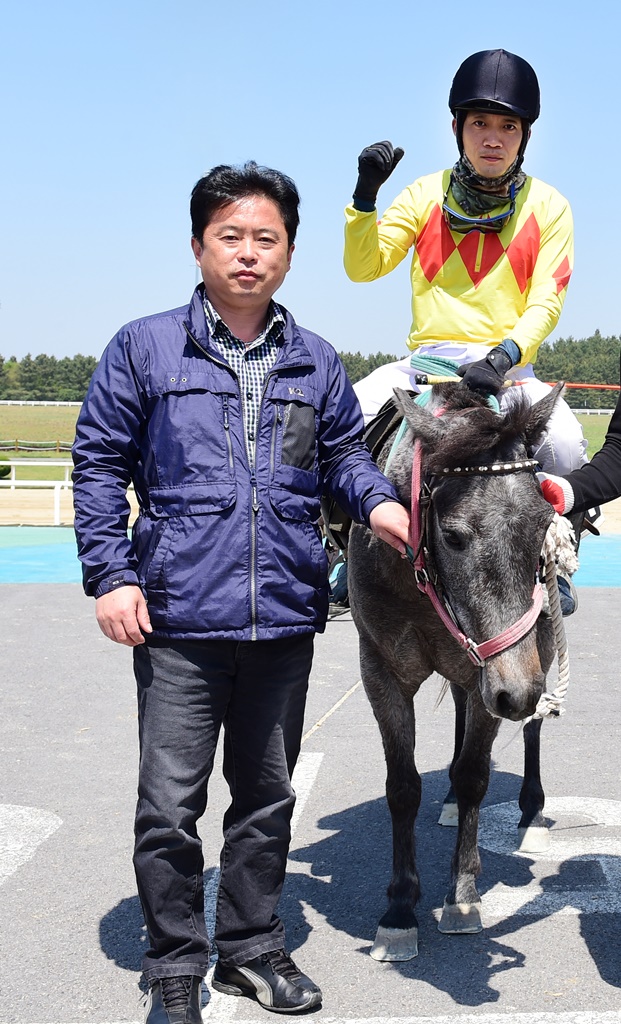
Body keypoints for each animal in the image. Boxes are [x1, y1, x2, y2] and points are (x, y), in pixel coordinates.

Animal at [348, 380, 564, 962]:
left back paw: (532, 812)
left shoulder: (501, 669)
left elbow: (474, 775)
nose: (518, 691)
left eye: (543, 525)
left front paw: (462, 895)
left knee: (530, 729)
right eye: (453, 535)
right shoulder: (381, 671)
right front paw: (400, 909)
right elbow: (402, 785)